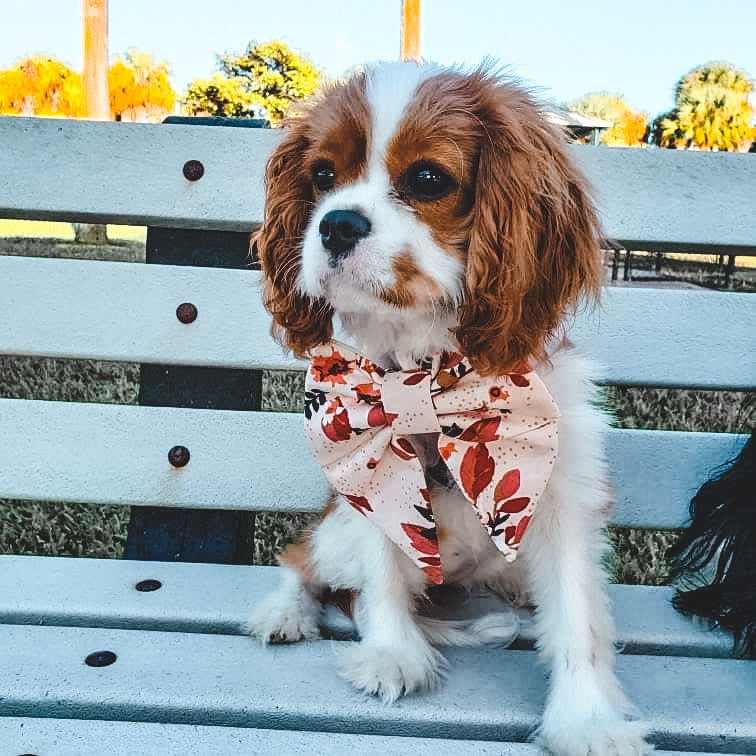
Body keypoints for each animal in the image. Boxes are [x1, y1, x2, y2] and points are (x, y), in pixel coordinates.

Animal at [250, 62, 648, 752]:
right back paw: (284, 612)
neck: (430, 375)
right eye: (323, 175)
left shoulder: (562, 500)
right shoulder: (369, 472)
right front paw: (392, 654)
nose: (336, 223)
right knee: (302, 560)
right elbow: (382, 570)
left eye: (428, 179)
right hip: (335, 527)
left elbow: (578, 618)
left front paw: (587, 720)